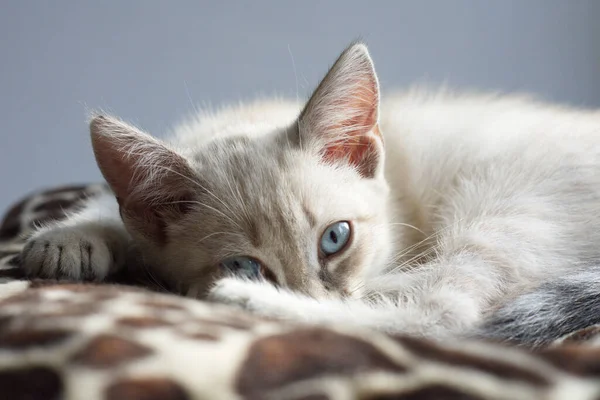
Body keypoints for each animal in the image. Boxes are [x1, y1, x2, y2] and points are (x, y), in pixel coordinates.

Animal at [17, 43, 600, 344]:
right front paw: (68, 240)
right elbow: (108, 207)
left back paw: (251, 302)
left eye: (335, 239)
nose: (246, 283)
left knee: (444, 310)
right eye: (246, 262)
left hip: (506, 200)